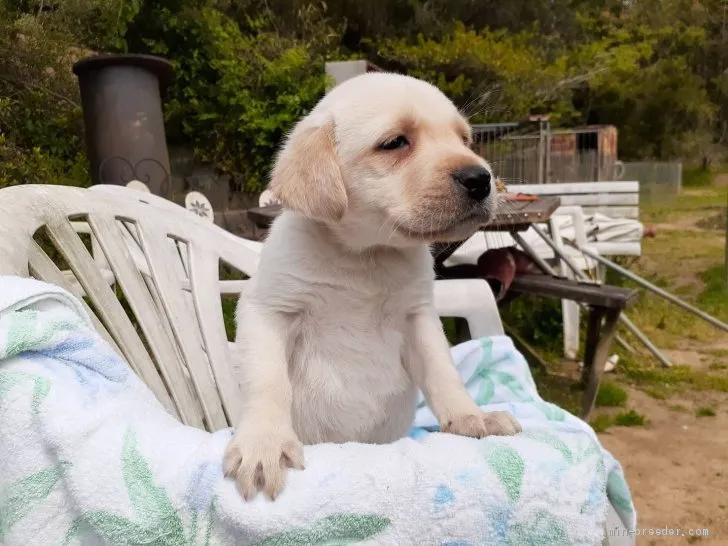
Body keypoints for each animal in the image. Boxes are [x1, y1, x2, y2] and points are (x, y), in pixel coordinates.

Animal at [225, 74, 520, 500]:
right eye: (395, 142)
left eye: (464, 140)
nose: (481, 178)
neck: (367, 256)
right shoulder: (268, 309)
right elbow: (268, 381)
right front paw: (264, 443)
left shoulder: (419, 318)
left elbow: (443, 373)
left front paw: (470, 417)